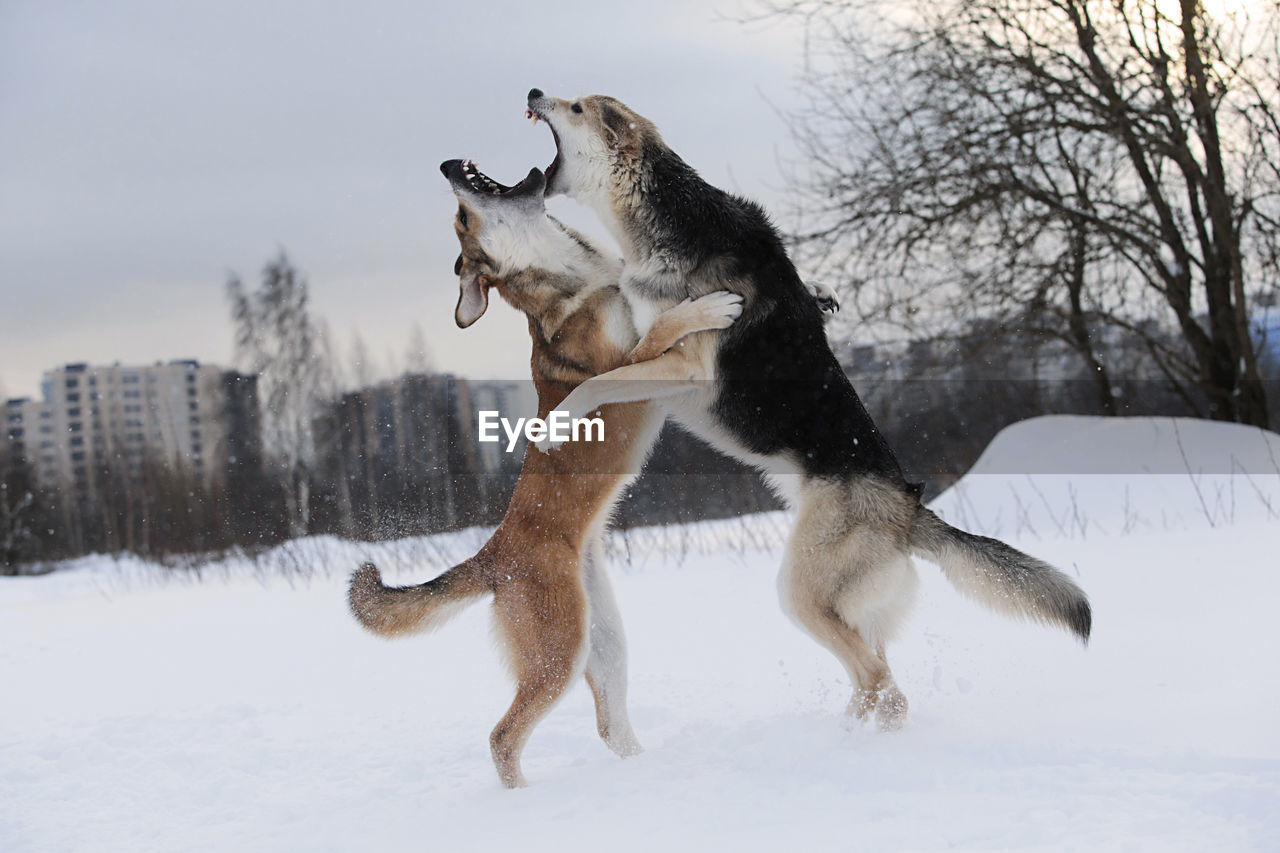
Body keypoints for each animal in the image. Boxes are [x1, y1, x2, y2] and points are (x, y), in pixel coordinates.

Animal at [345, 157, 747, 783]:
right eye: (462, 218)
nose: (446, 164)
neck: (586, 281)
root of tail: (493, 554)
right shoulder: (630, 368)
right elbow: (662, 328)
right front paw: (706, 309)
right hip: (559, 652)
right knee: (502, 737)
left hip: (602, 643)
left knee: (610, 726)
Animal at [522, 89, 1090, 727]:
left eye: (574, 107)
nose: (534, 93)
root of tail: (909, 511)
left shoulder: (679, 366)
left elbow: (598, 382)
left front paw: (555, 425)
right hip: (848, 607)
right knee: (880, 683)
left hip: (803, 591)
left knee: (882, 685)